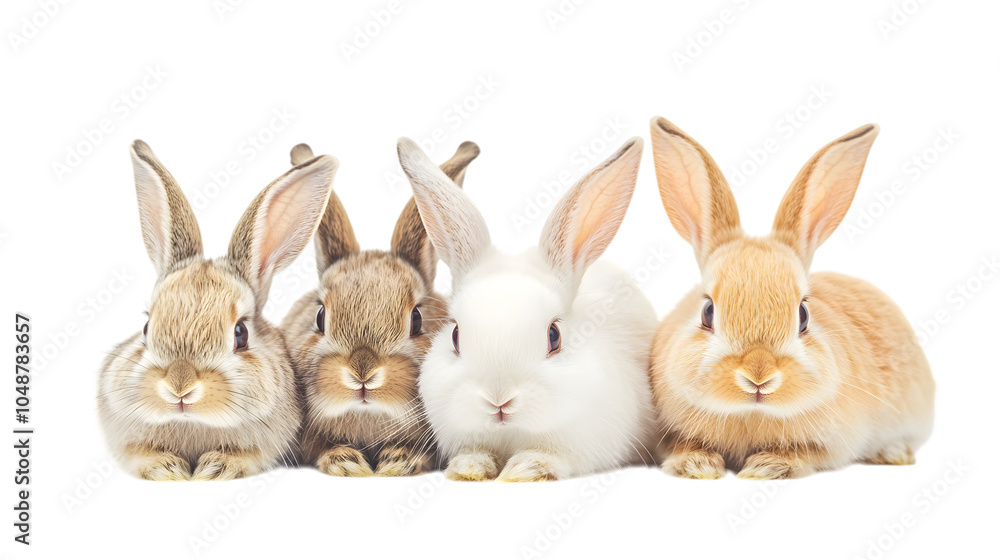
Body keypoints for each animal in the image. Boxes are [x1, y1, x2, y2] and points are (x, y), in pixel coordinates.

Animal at [396, 136, 658, 482]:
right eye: (454, 336)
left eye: (554, 336)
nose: (499, 399)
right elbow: (474, 453)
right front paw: (469, 469)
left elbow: (551, 457)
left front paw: (525, 470)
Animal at [647, 117, 936, 479]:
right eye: (707, 312)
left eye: (803, 315)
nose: (758, 376)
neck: (750, 414)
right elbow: (683, 446)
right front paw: (697, 466)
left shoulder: (830, 445)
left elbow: (803, 454)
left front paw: (765, 468)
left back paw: (894, 455)